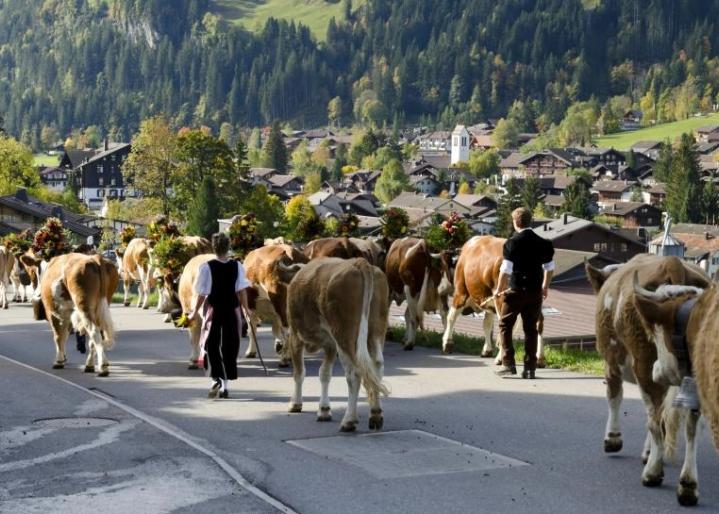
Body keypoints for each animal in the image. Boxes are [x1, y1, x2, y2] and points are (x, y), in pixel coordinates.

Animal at [285, 257, 389, 432]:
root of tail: (359, 262)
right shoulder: (330, 345)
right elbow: (325, 373)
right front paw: (324, 410)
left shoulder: (295, 336)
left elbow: (299, 372)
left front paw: (295, 404)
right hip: (376, 330)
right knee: (376, 366)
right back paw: (375, 414)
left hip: (344, 334)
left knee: (354, 373)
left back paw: (349, 420)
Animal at [441, 235, 547, 366]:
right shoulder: (489, 303)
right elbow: (487, 324)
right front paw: (487, 350)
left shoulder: (461, 292)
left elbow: (451, 317)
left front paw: (447, 343)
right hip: (534, 298)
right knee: (539, 322)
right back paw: (540, 358)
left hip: (501, 298)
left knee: (506, 324)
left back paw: (501, 358)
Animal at [585, 254, 710, 505]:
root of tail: (672, 262)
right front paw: (649, 451)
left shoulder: (611, 362)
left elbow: (615, 397)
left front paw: (613, 439)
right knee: (690, 424)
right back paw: (687, 484)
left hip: (644, 364)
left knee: (655, 418)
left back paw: (653, 473)